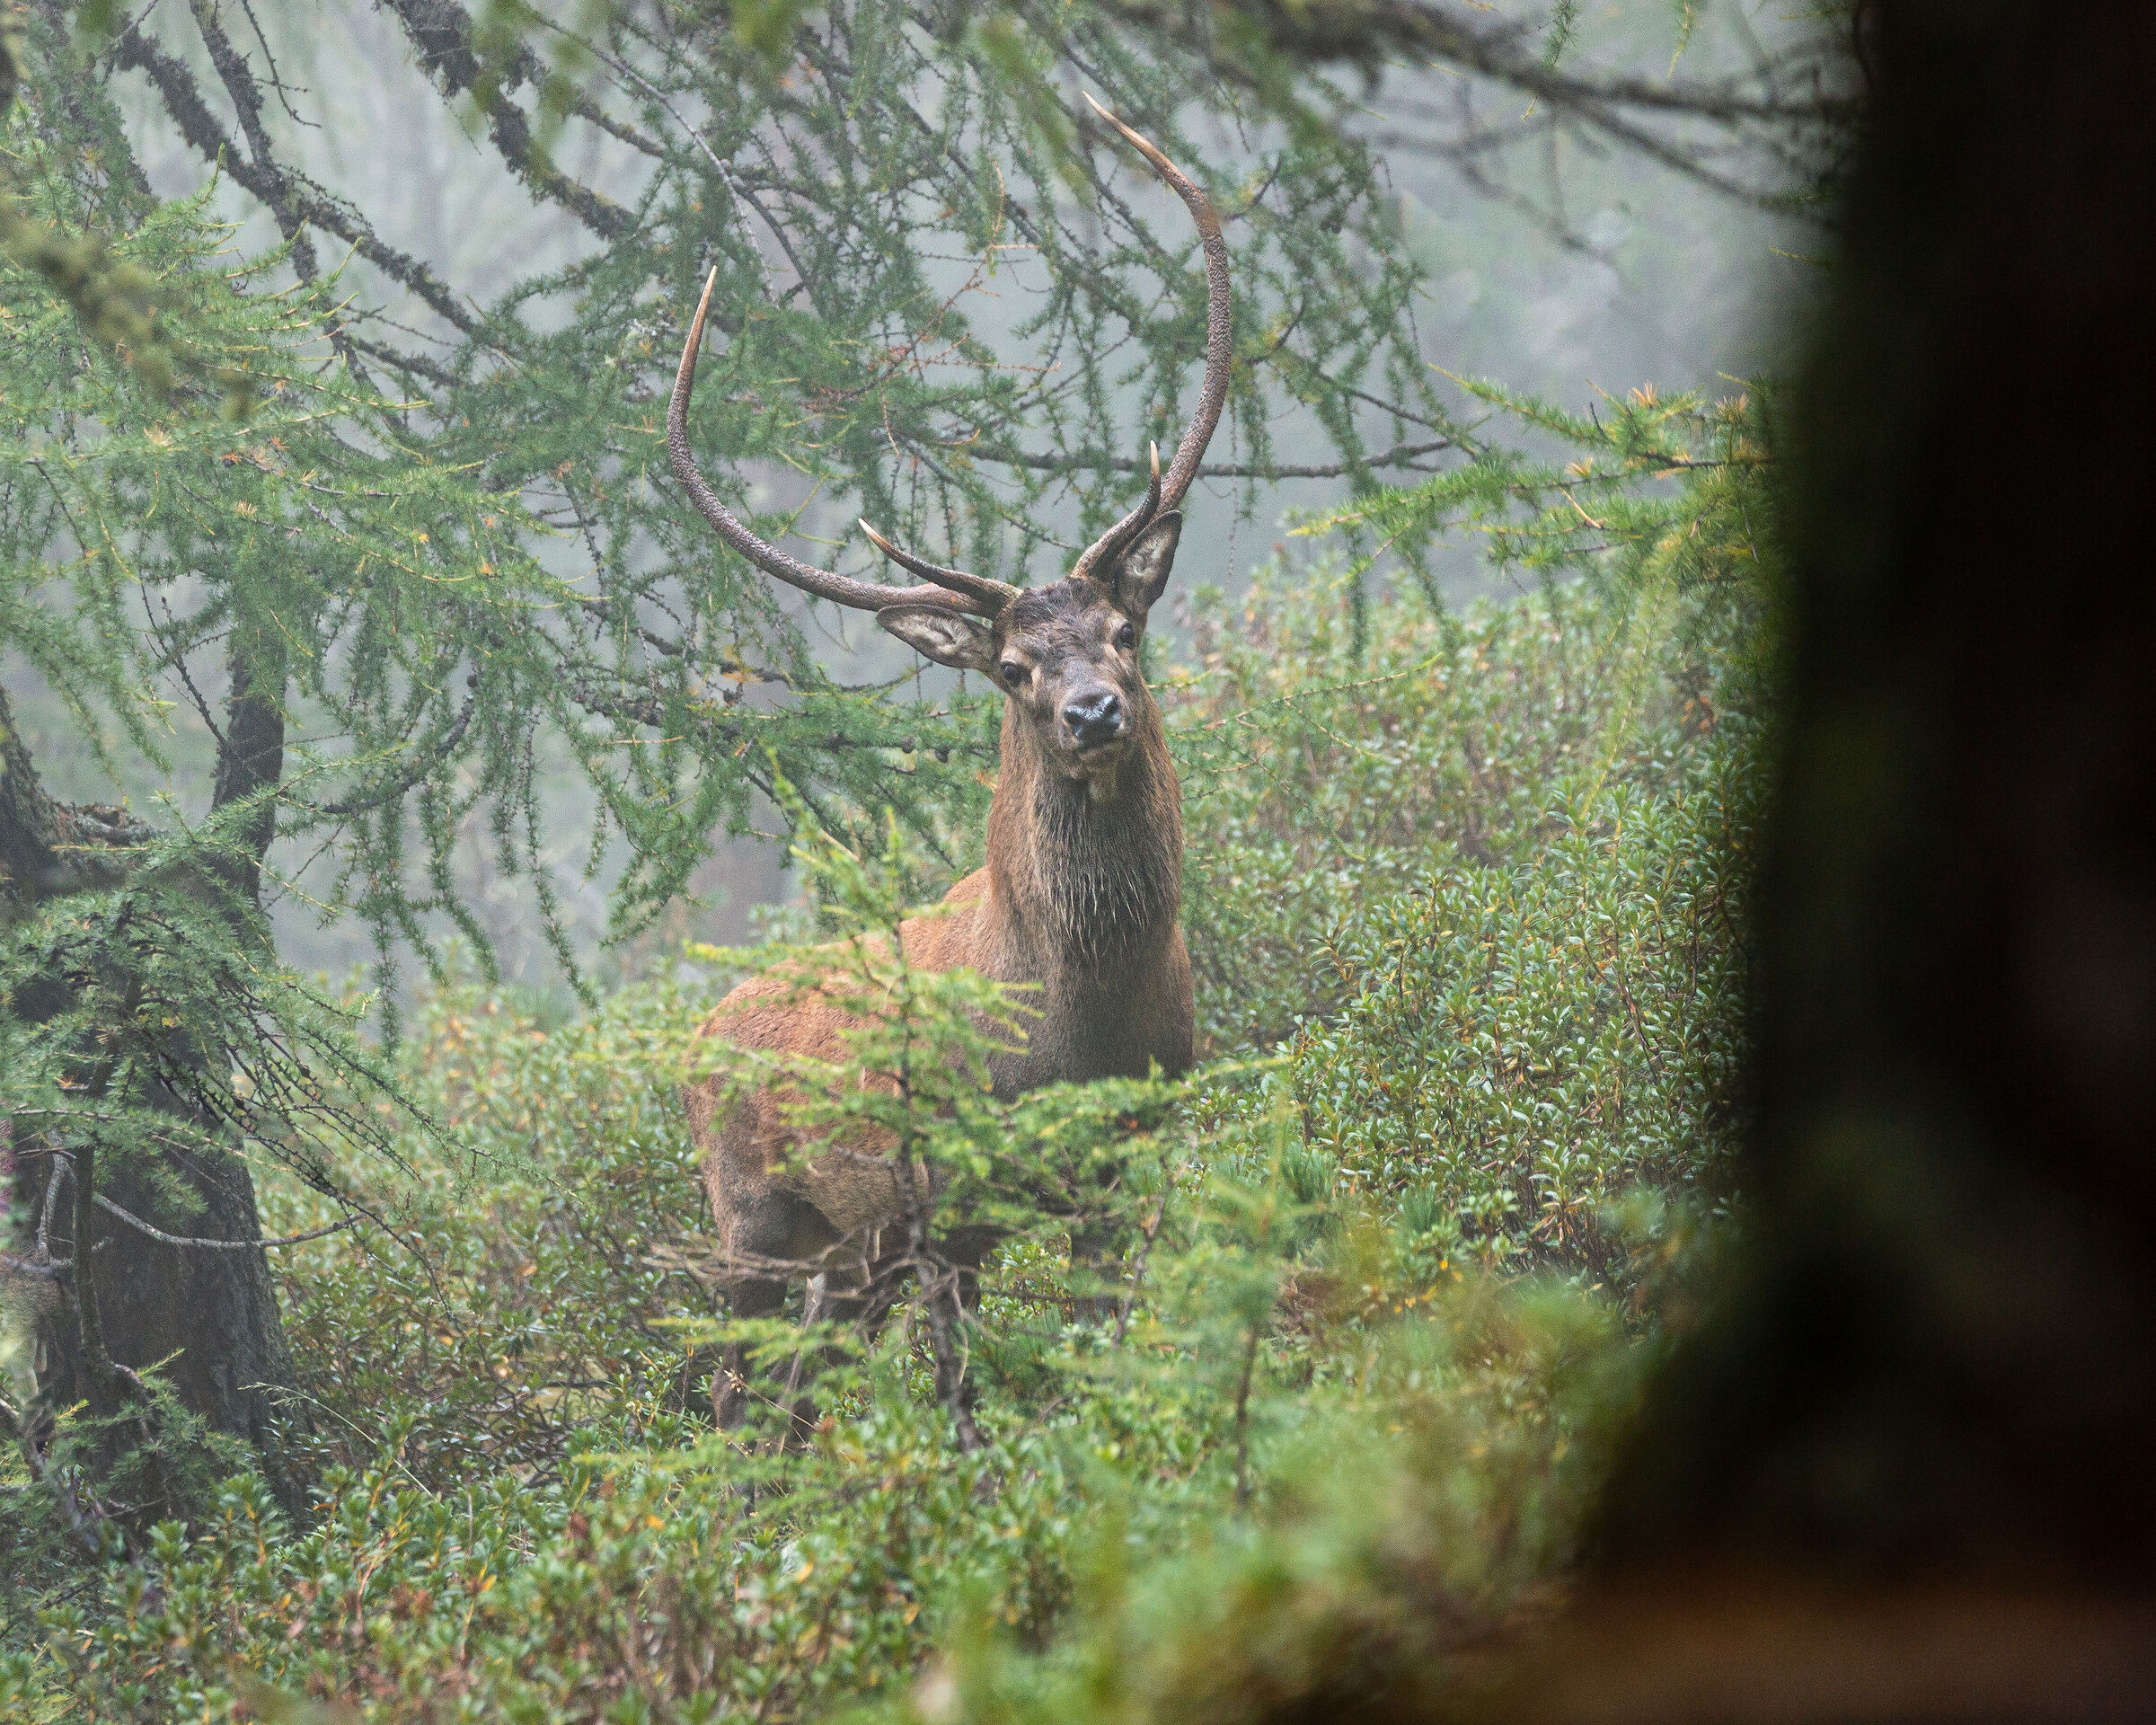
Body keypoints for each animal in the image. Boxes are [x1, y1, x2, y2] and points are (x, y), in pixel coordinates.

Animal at [670, 98, 1229, 1434]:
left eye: (1125, 631)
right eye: (1014, 667)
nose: (1092, 712)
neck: (1081, 1023)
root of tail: (687, 1051)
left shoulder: (1133, 1149)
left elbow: (1098, 1347)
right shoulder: (944, 1199)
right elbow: (966, 1392)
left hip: (842, 1261)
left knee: (790, 1404)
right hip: (755, 1227)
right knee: (729, 1400)